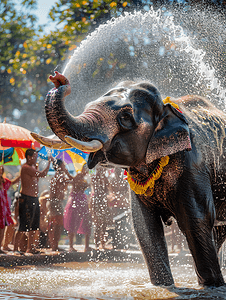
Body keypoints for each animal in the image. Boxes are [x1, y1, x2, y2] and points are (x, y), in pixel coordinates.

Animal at [32, 71, 226, 288]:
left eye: (125, 117)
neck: (167, 108)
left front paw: (211, 287)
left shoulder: (194, 165)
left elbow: (197, 219)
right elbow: (144, 226)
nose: (60, 80)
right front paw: (163, 286)